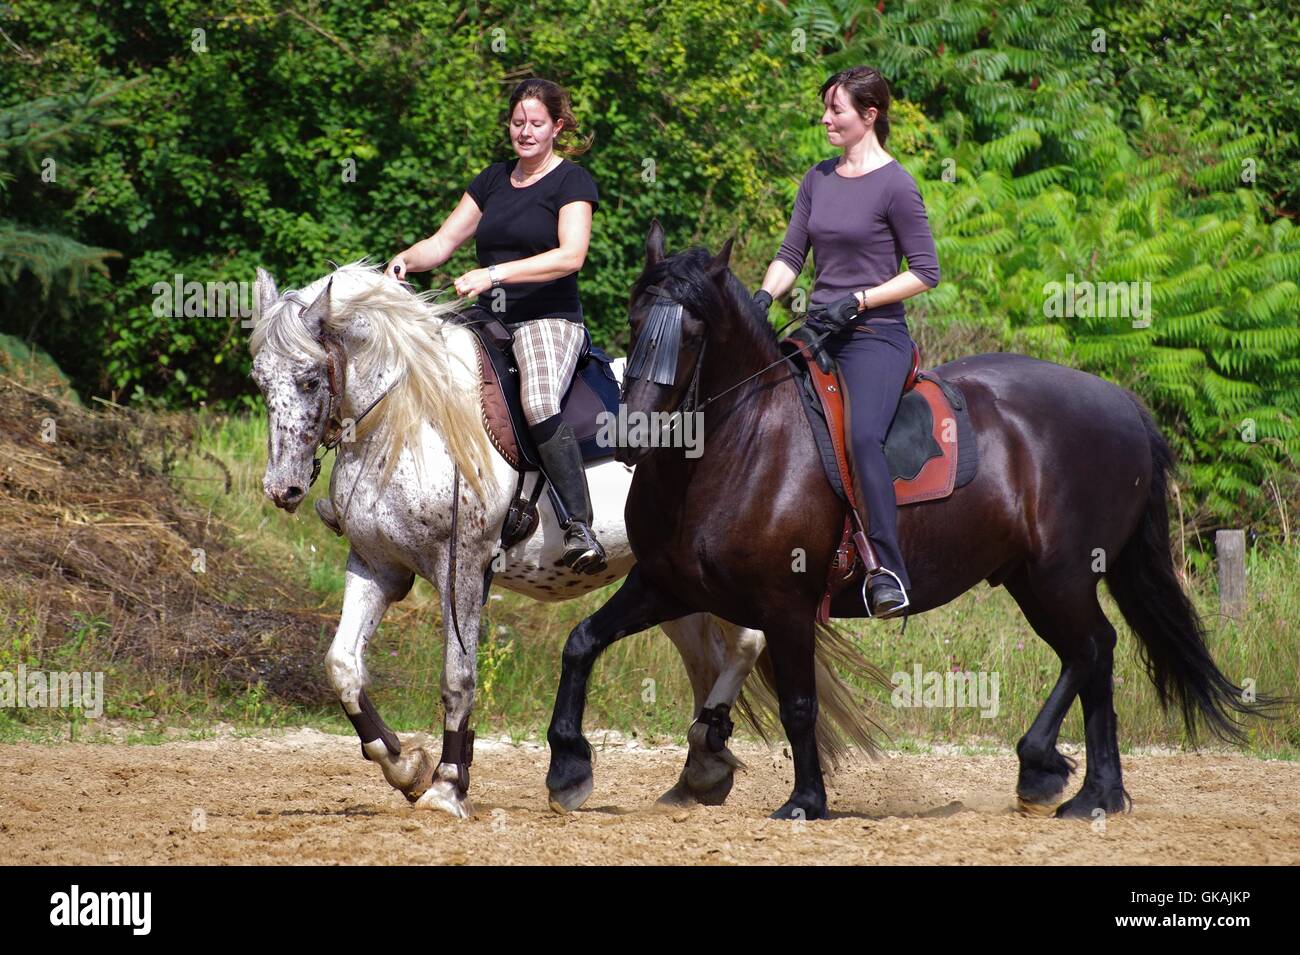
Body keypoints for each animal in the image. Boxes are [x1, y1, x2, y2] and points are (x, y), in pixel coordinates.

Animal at [248, 261, 881, 818]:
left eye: (310, 379)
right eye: (260, 380)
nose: (282, 488)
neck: (411, 418)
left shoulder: (462, 567)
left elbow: (457, 678)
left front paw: (448, 786)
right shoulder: (376, 565)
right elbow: (343, 666)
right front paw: (404, 766)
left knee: (745, 643)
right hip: (673, 582)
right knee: (715, 653)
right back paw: (701, 767)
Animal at [544, 222, 1273, 821]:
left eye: (693, 331)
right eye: (636, 319)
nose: (632, 434)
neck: (740, 445)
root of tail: (1121, 402)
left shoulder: (786, 603)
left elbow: (800, 705)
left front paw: (806, 801)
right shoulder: (666, 583)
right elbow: (580, 642)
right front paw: (568, 768)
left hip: (1060, 574)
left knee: (1094, 649)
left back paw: (1072, 782)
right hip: (1030, 578)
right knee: (1087, 655)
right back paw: (1080, 786)